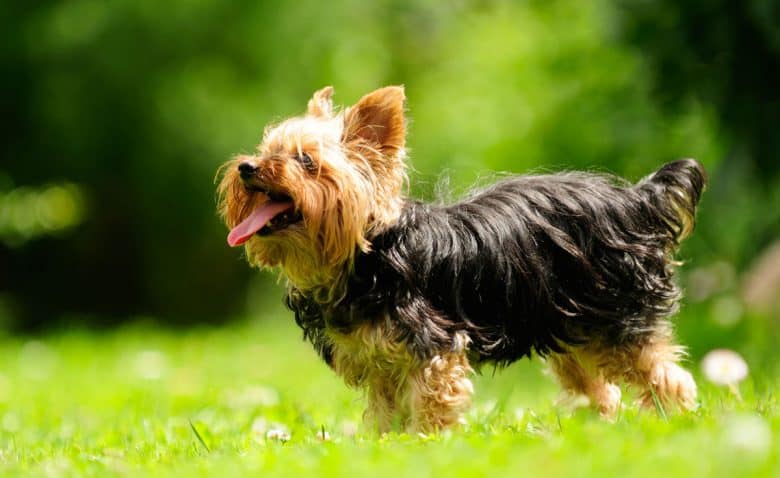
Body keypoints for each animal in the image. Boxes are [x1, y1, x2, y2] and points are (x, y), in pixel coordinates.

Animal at [216, 86, 704, 434]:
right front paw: (383, 447)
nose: (247, 168)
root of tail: (636, 199)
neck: (364, 256)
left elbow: (432, 405)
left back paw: (678, 424)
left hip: (619, 318)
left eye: (306, 161)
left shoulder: (434, 348)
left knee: (668, 378)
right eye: (266, 150)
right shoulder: (380, 365)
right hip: (570, 327)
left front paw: (426, 445)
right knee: (599, 391)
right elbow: (384, 414)